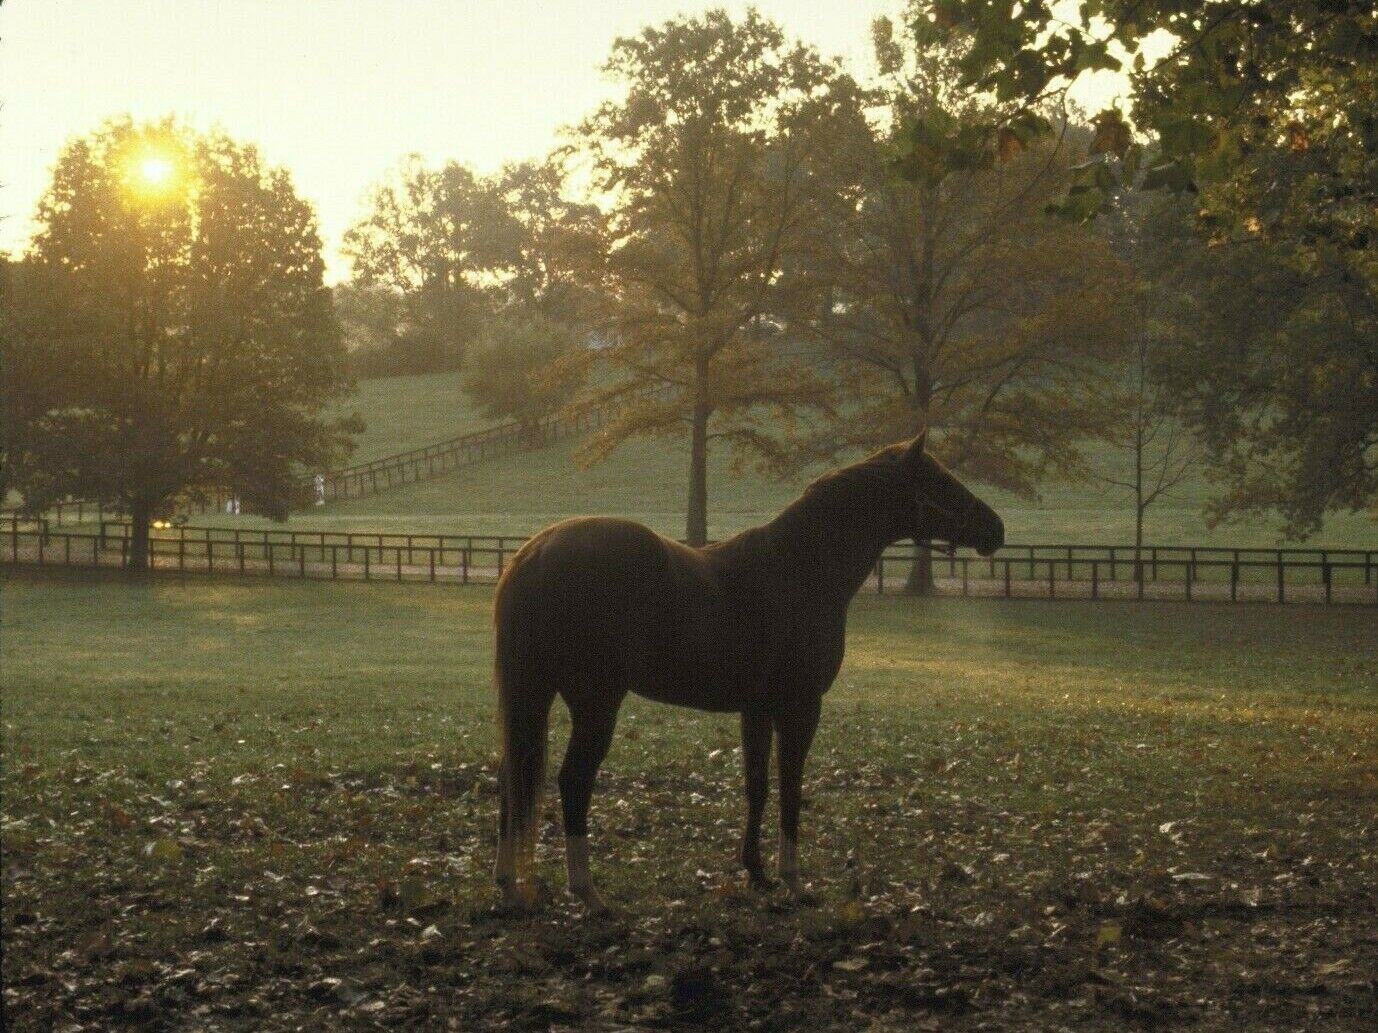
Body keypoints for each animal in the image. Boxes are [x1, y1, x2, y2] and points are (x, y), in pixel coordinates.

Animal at [493, 432, 1003, 909]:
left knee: (514, 779)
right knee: (573, 780)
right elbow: (791, 788)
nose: (996, 528)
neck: (800, 567)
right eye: (940, 480)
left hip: (535, 695)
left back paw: (508, 884)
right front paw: (792, 879)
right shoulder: (800, 707)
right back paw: (587, 891)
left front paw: (755, 871)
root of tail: (535, 552)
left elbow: (756, 786)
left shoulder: (756, 709)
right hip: (596, 703)